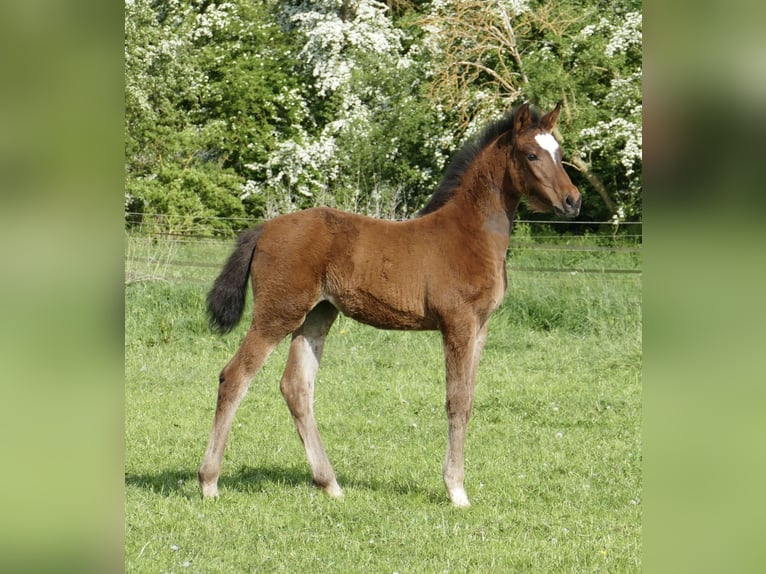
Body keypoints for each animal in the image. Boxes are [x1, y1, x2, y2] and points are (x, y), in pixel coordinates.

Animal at [198, 102, 581, 507]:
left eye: (559, 153)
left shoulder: (481, 327)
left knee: (297, 387)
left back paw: (329, 483)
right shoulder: (458, 323)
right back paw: (209, 482)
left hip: (317, 315)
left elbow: (469, 400)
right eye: (531, 154)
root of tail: (264, 229)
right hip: (277, 313)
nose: (573, 201)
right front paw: (456, 490)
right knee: (235, 377)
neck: (470, 234)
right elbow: (456, 400)